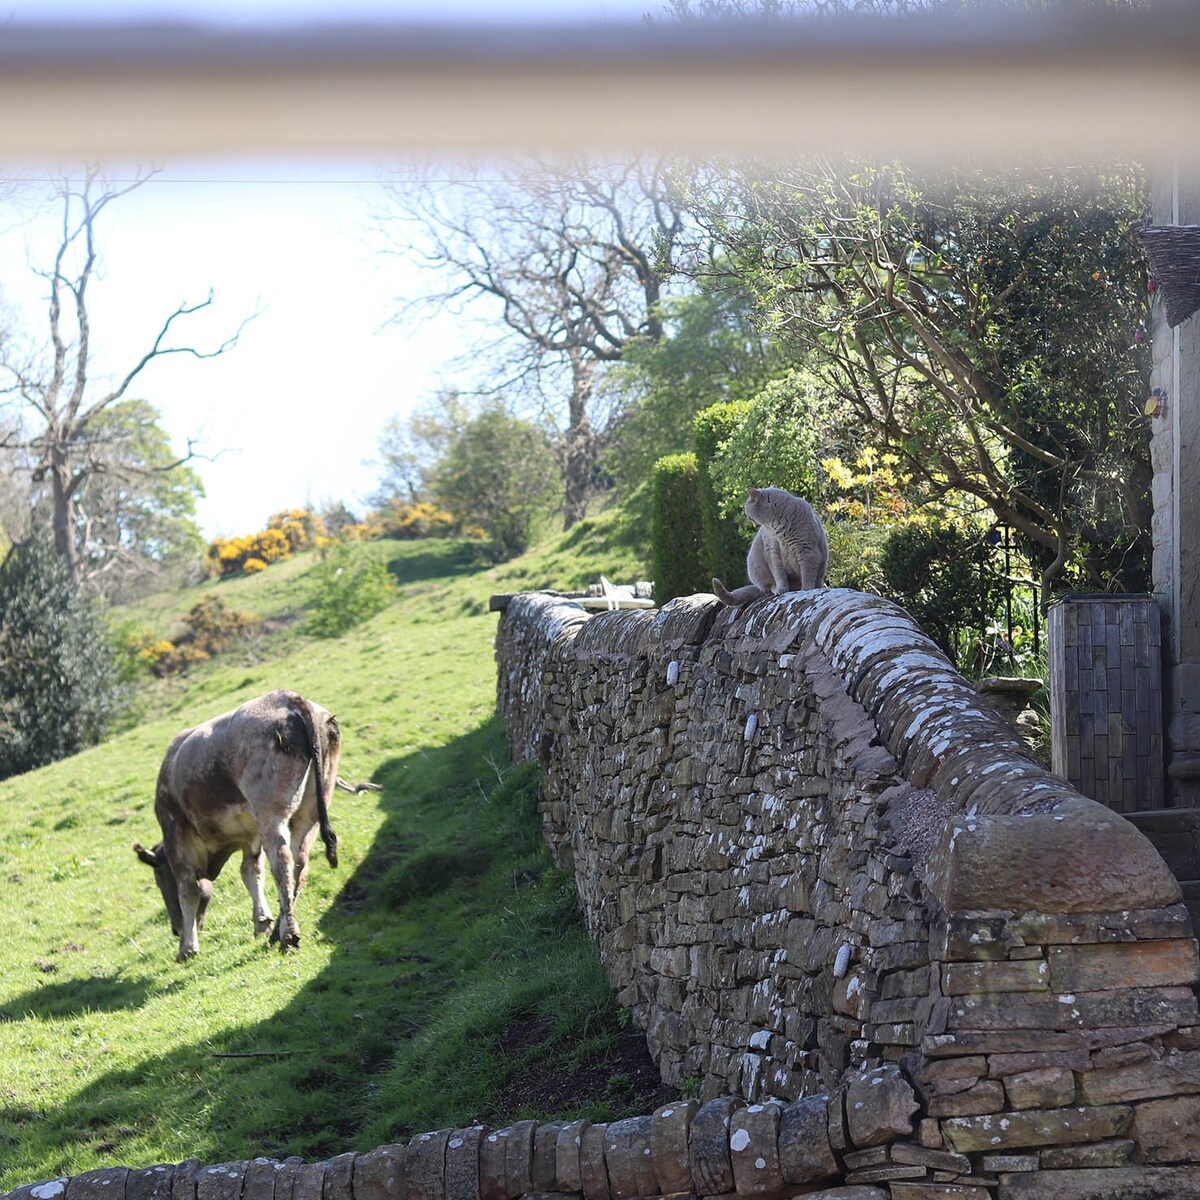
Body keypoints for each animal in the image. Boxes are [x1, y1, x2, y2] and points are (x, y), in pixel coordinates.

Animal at [135, 691, 343, 960]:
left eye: (160, 879)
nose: (175, 929)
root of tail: (288, 697)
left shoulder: (176, 835)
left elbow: (188, 888)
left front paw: (187, 948)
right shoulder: (250, 837)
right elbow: (251, 873)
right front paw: (263, 922)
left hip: (271, 813)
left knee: (282, 861)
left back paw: (288, 936)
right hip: (311, 811)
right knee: (299, 863)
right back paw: (279, 931)